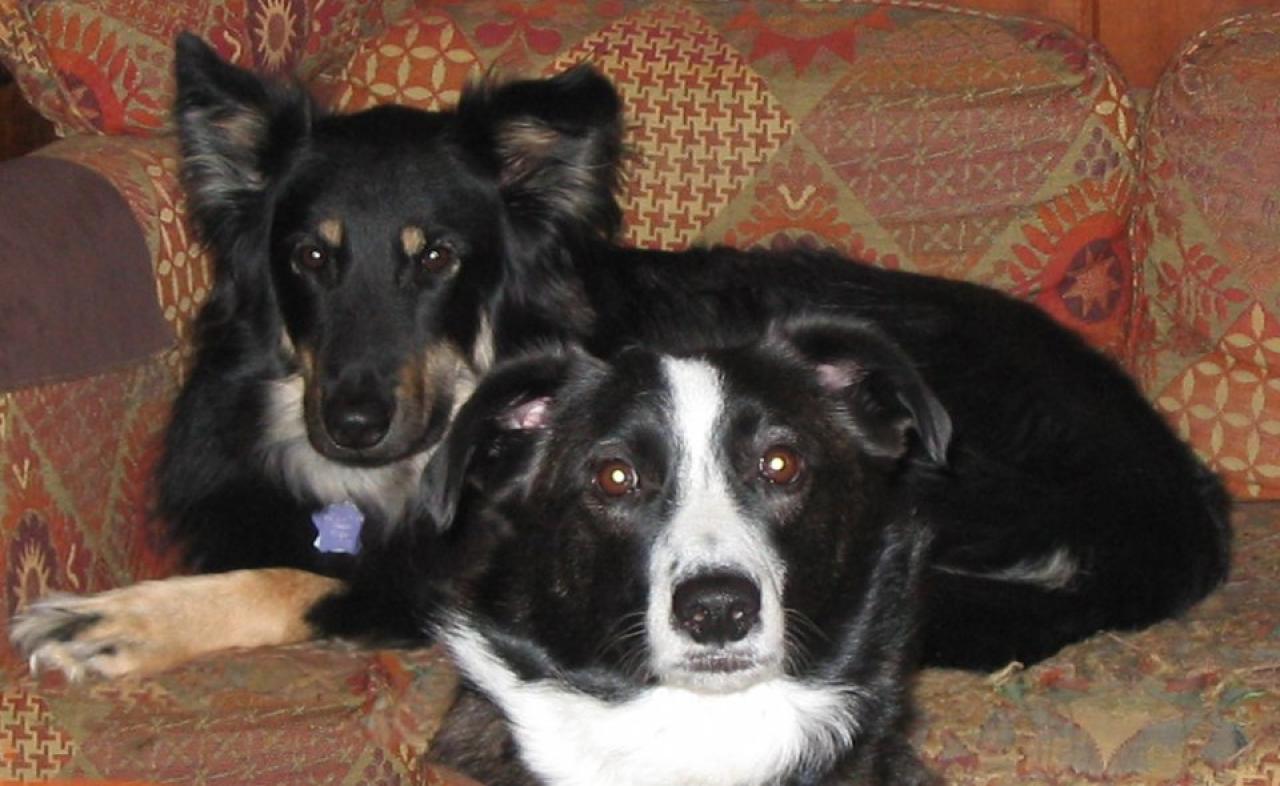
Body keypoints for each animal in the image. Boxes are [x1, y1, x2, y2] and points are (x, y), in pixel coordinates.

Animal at [13, 39, 1230, 679]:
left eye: (437, 258)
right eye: (311, 257)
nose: (349, 420)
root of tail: (1173, 493)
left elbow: (315, 581)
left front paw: (112, 622)